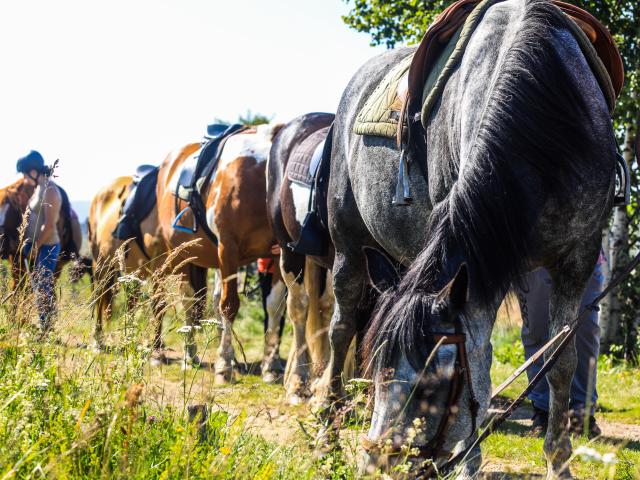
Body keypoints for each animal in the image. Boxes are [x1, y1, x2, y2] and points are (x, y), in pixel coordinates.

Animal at [156, 124, 286, 382]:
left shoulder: (277, 253)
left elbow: (274, 307)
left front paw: (271, 365)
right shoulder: (228, 249)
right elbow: (229, 306)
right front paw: (224, 365)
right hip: (181, 255)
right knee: (188, 302)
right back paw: (189, 354)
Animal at [328, 1, 616, 478]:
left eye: (434, 384)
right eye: (381, 364)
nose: (378, 461)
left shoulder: (577, 258)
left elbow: (560, 361)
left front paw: (558, 461)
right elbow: (481, 360)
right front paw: (468, 462)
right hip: (348, 248)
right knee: (341, 328)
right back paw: (325, 435)